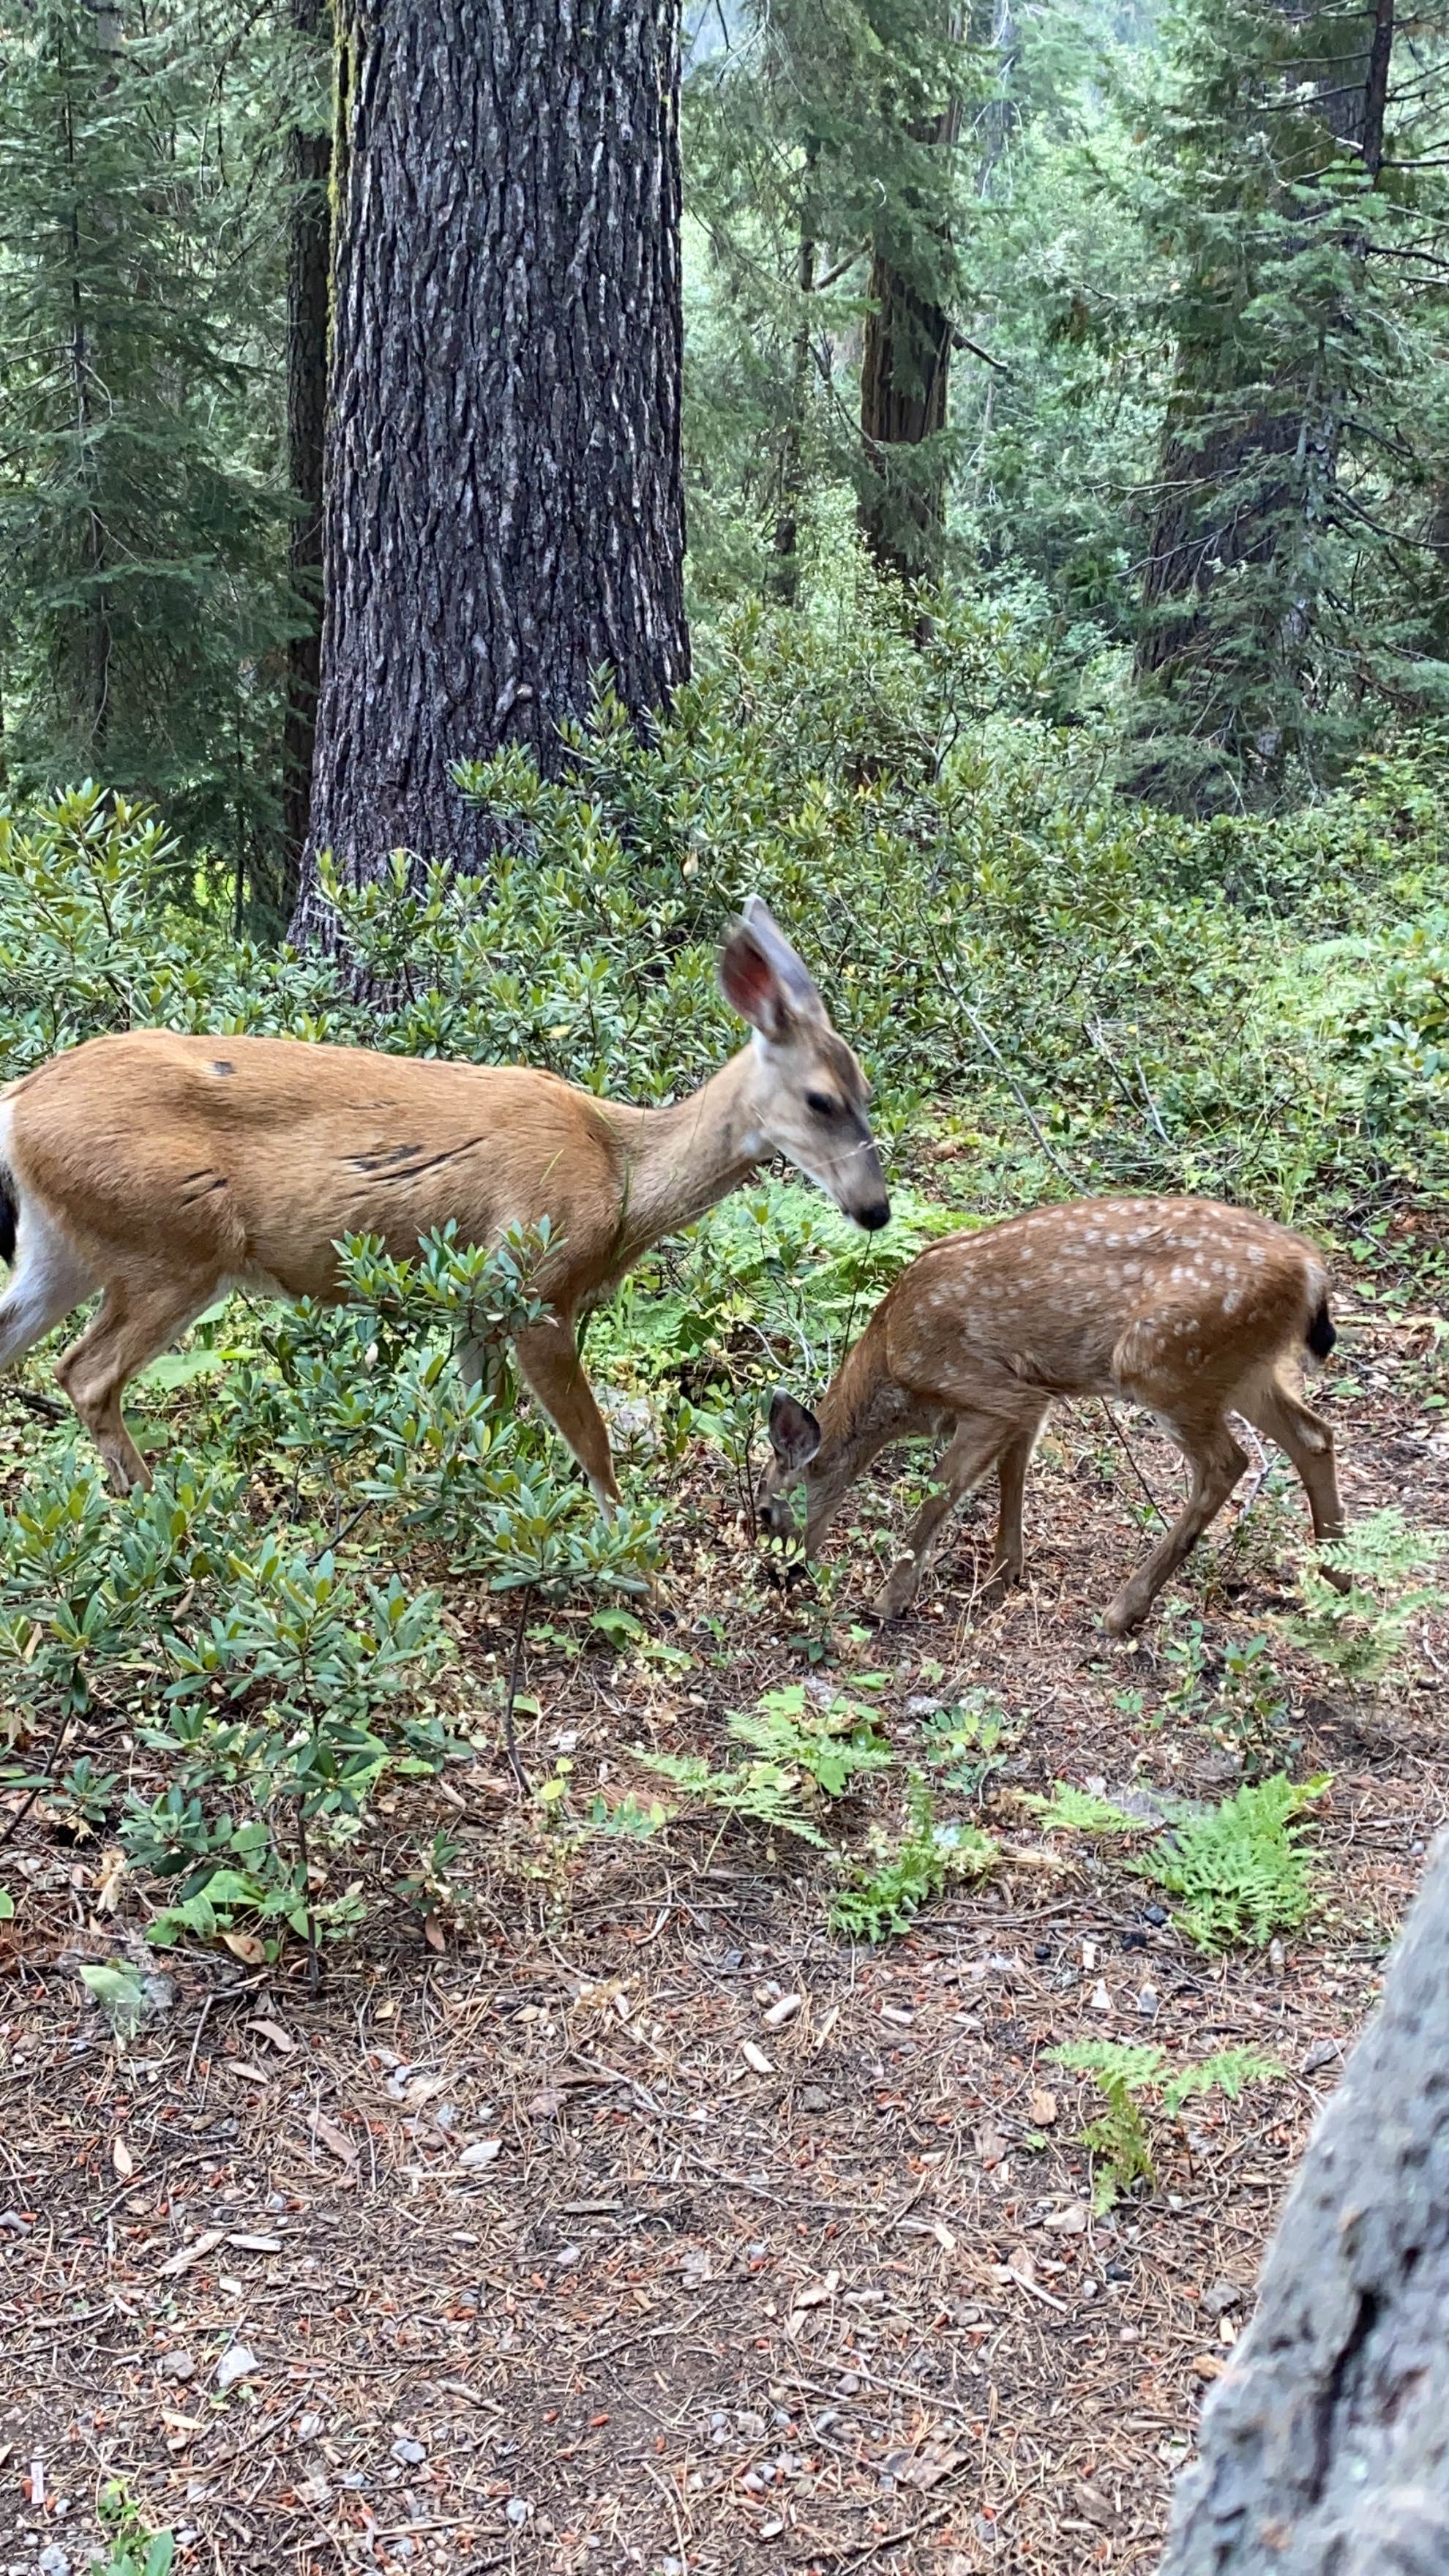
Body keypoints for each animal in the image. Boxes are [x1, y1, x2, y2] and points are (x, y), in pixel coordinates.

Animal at [0, 907, 886, 1504]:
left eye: (868, 1090)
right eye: (821, 1099)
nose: (875, 1209)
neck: (621, 1174)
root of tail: (18, 1102)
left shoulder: (475, 1305)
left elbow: (483, 1418)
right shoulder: (535, 1280)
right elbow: (590, 1439)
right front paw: (624, 1546)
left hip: (65, 1248)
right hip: (173, 1242)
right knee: (84, 1373)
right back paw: (157, 1509)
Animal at [757, 1200, 1341, 1638]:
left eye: (763, 1512)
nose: (777, 1575)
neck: (892, 1365)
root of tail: (1313, 1271)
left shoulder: (988, 1389)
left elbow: (939, 1491)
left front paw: (889, 1601)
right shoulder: (1033, 1396)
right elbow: (1011, 1474)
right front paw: (1004, 1574)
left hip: (1167, 1362)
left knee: (1227, 1462)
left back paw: (1122, 1611)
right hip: (1241, 1370)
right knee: (1314, 1434)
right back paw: (1338, 1576)